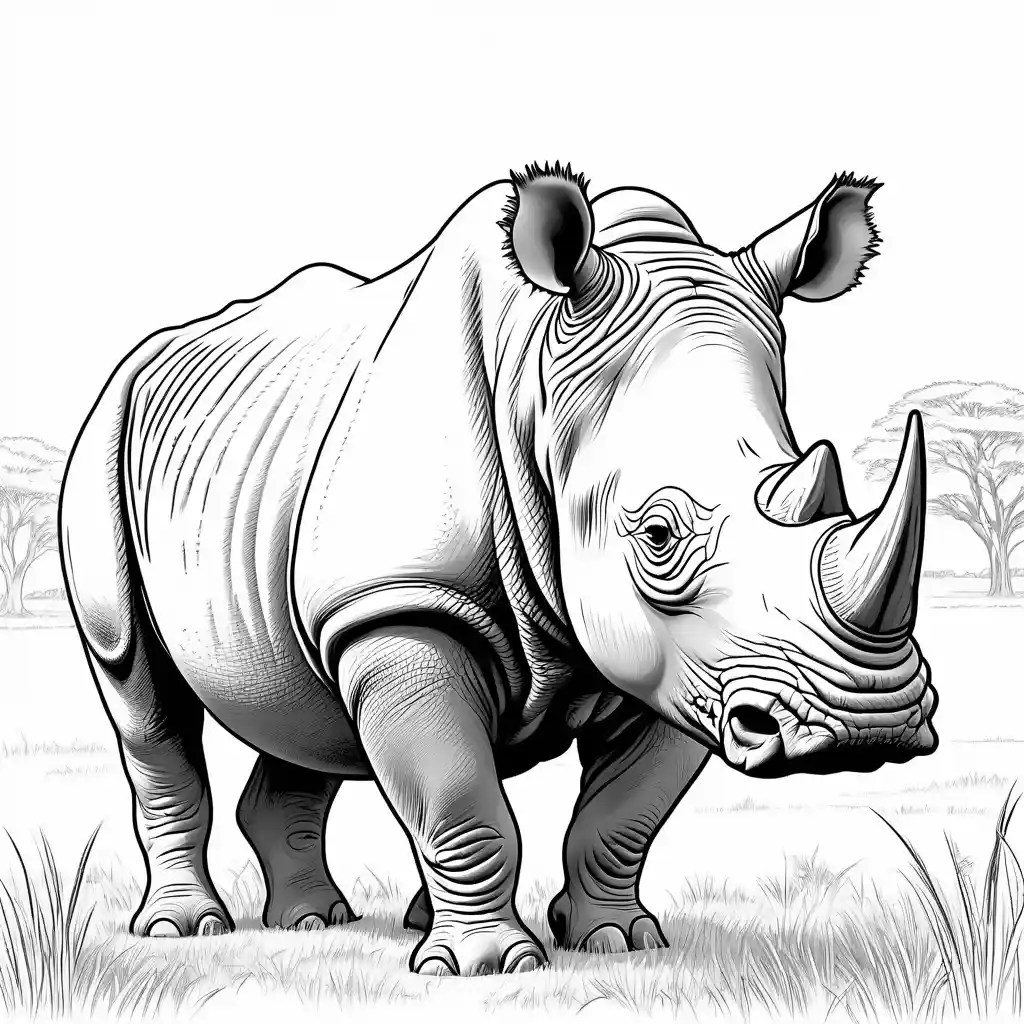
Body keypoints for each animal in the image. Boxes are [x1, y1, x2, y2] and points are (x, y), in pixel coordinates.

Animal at [60, 162, 937, 976]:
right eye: (657, 536)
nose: (868, 724)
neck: (539, 394)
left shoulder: (689, 661)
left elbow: (625, 812)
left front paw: (618, 942)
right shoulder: (403, 603)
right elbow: (459, 793)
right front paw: (485, 966)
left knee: (298, 705)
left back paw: (318, 922)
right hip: (102, 437)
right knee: (140, 693)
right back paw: (185, 929)